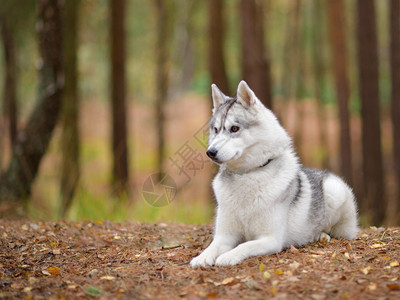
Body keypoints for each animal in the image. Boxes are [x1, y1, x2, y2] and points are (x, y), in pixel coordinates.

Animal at [191, 80, 360, 268]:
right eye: (215, 129)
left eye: (234, 128)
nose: (210, 152)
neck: (247, 174)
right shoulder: (225, 236)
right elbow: (213, 246)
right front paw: (202, 257)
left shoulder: (270, 239)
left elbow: (244, 245)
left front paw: (228, 256)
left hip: (334, 191)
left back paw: (320, 235)